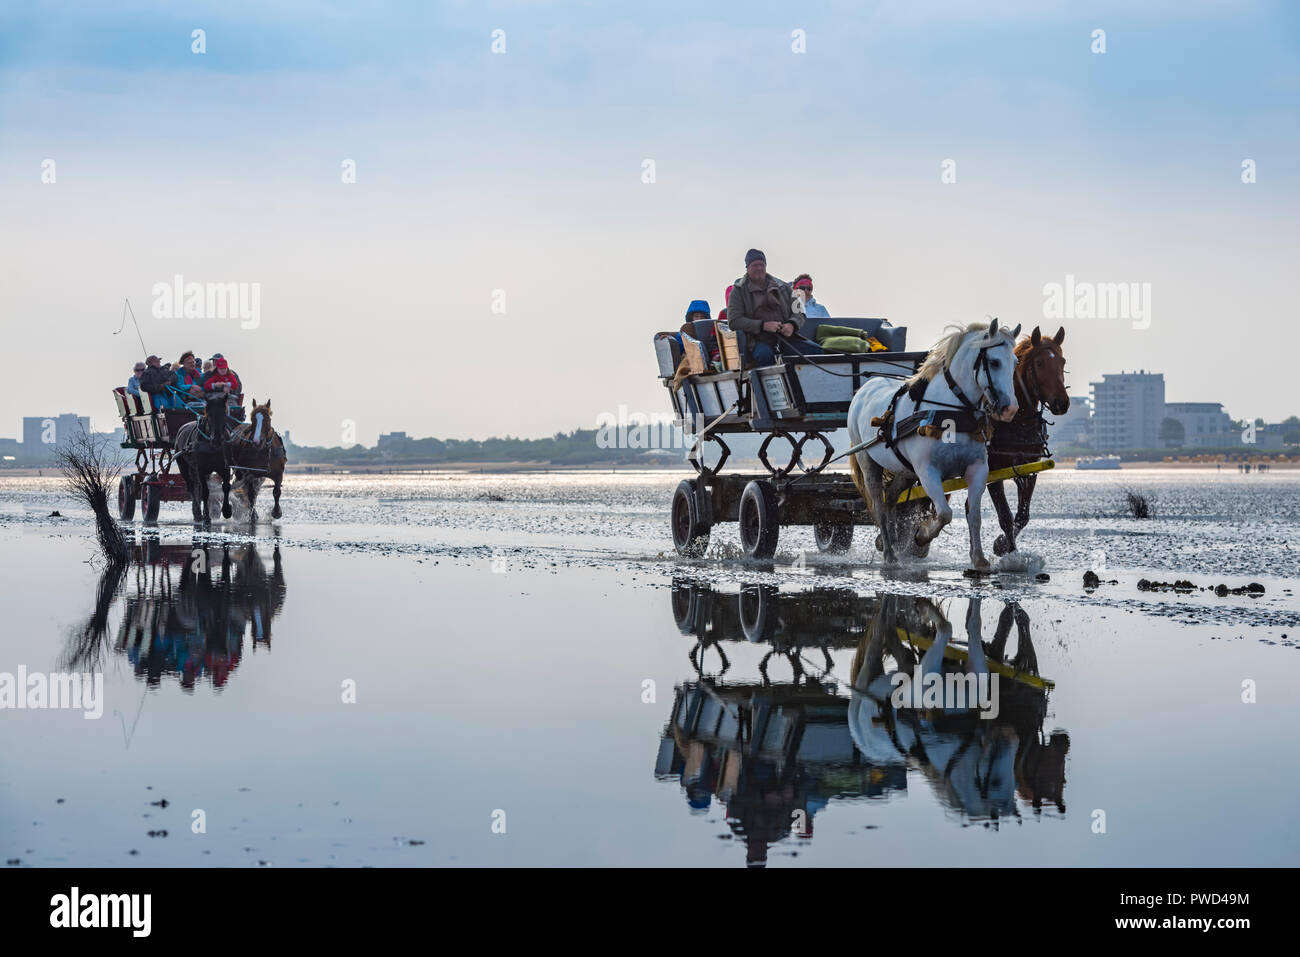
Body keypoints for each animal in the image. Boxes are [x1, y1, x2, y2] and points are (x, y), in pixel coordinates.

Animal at [847, 317, 1019, 566]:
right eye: (995, 362)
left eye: (1015, 362)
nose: (1010, 408)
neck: (952, 412)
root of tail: (864, 388)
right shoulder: (928, 471)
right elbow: (945, 513)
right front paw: (922, 535)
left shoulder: (978, 468)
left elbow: (974, 515)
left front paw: (978, 557)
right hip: (867, 461)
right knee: (879, 505)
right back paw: (889, 553)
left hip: (905, 471)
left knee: (890, 500)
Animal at [987, 327, 1071, 556]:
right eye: (1040, 363)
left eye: (1062, 361)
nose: (1062, 403)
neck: (1016, 421)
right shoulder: (992, 471)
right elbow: (1005, 517)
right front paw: (1012, 554)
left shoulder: (1029, 468)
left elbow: (1022, 516)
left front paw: (1002, 544)